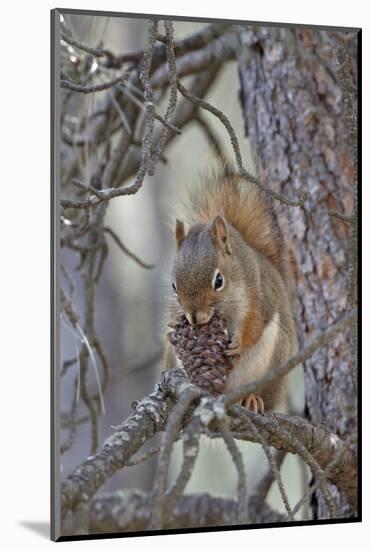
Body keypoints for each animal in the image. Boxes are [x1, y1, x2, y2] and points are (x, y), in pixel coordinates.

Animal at [166, 165, 300, 414]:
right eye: (173, 286)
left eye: (218, 281)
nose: (194, 318)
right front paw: (172, 330)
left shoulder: (259, 296)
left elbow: (255, 325)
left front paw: (238, 346)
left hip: (275, 362)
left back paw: (253, 399)